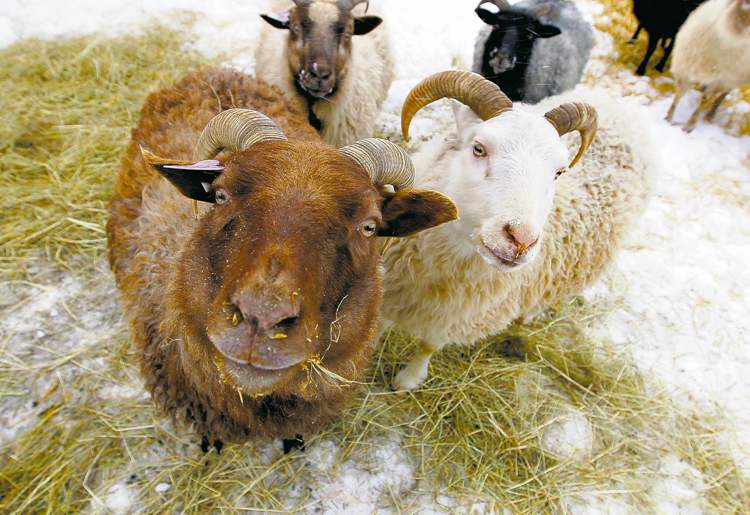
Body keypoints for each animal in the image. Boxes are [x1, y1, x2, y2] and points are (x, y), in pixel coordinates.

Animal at [380, 71, 655, 390]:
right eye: (478, 148)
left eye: (559, 172)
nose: (521, 240)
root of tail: (621, 106)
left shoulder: (459, 315)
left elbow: (429, 345)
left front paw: (408, 380)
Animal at [666, 0, 750, 132]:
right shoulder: (684, 67)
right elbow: (679, 94)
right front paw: (668, 117)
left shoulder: (719, 80)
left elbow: (705, 100)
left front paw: (689, 125)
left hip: (734, 78)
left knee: (723, 94)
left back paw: (710, 115)